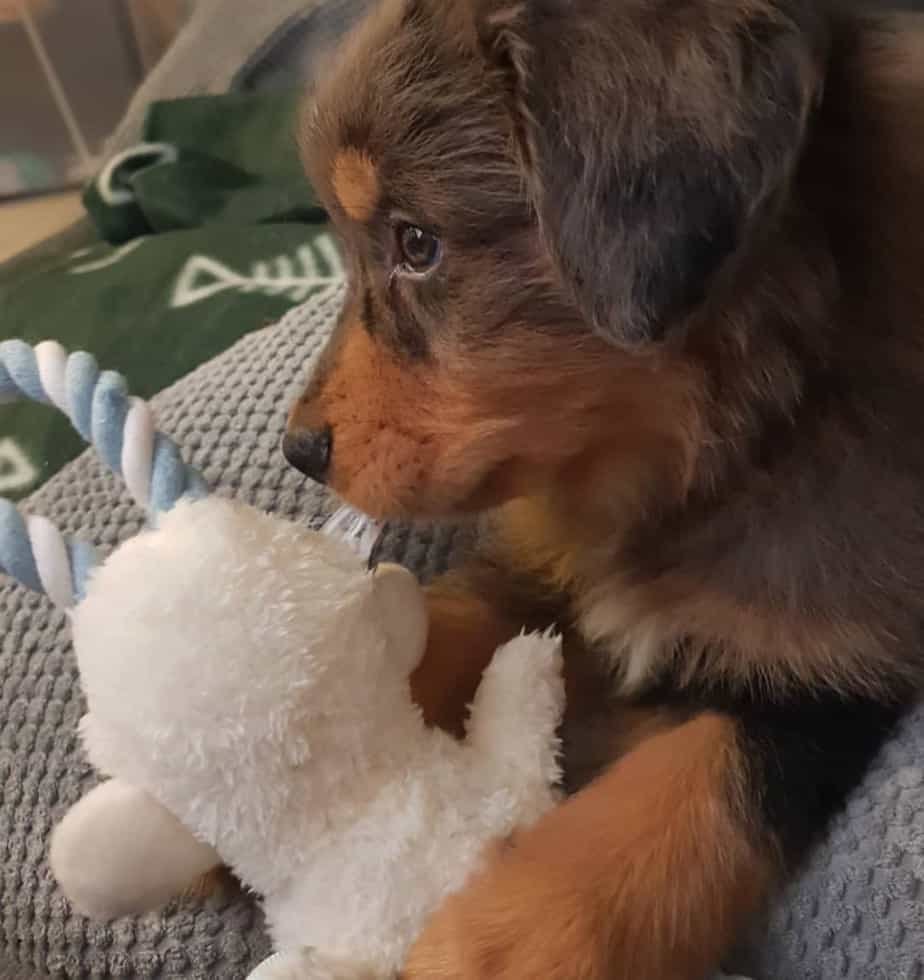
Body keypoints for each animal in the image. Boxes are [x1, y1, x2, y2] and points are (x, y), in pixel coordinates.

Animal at [286, 1, 924, 980]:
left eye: (418, 243)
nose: (298, 449)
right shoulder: (541, 571)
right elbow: (443, 623)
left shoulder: (828, 660)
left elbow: (673, 801)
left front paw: (489, 945)